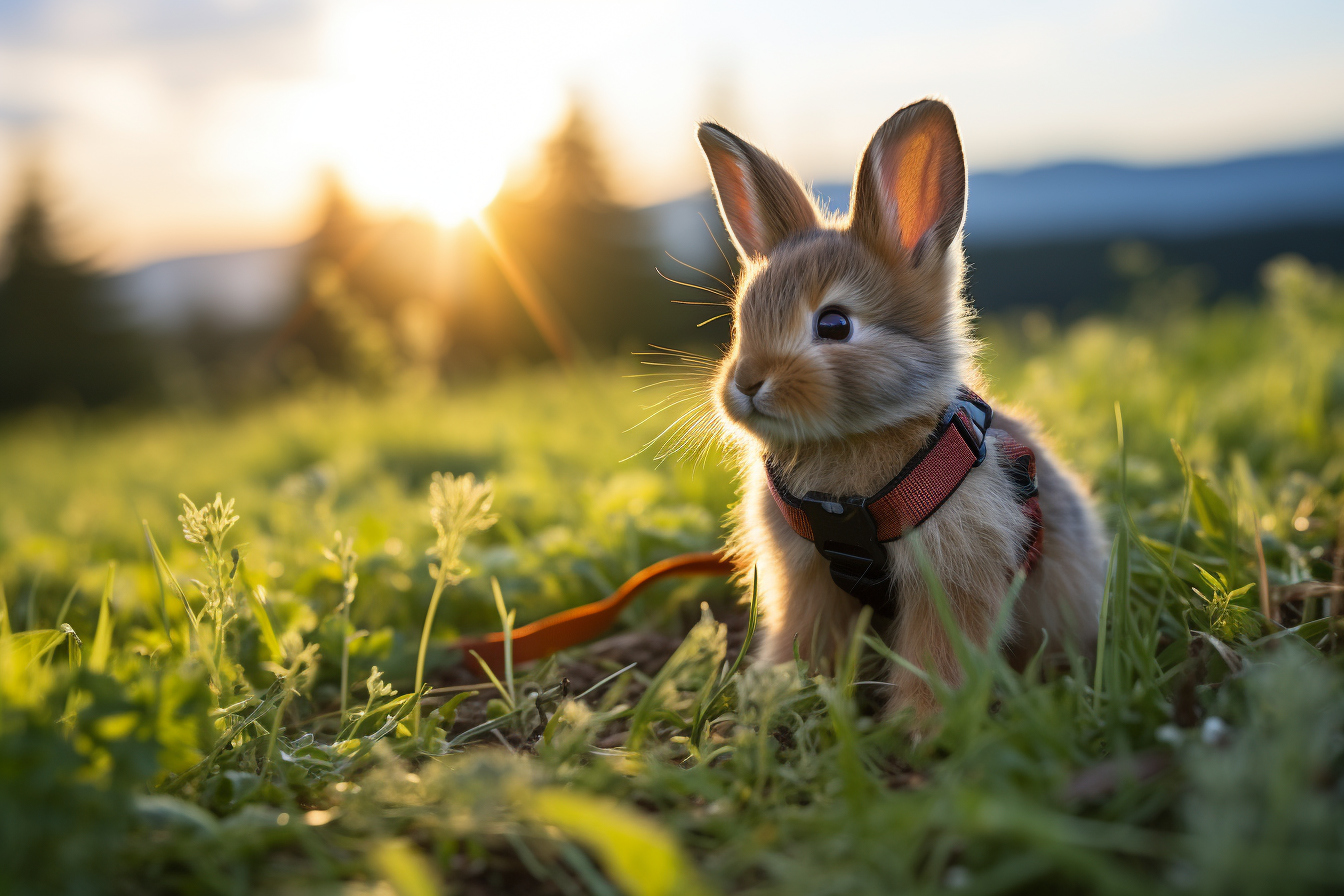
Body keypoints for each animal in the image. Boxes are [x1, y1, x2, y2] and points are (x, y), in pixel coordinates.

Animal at [698, 98, 1107, 720]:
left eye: (834, 325)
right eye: (741, 322)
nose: (745, 384)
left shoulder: (953, 578)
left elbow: (937, 652)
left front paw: (923, 724)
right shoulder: (808, 584)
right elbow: (803, 636)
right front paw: (776, 694)